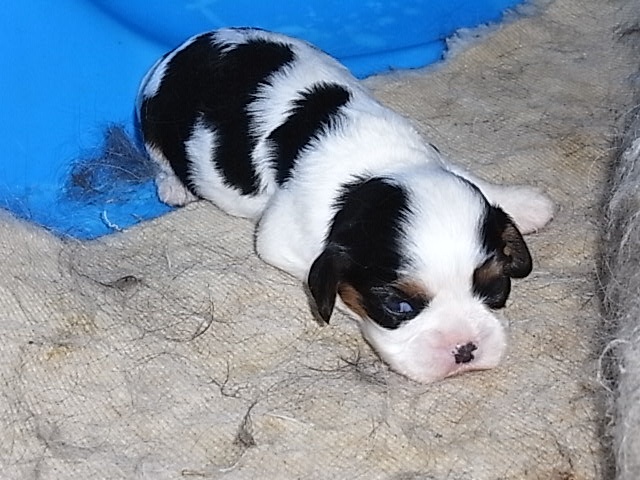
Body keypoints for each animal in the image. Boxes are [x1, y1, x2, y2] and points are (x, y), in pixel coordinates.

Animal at [136, 28, 554, 383]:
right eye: (399, 307)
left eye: (496, 286)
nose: (465, 349)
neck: (376, 170)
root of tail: (189, 45)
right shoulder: (280, 240)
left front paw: (525, 205)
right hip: (151, 123)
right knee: (160, 160)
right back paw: (174, 186)